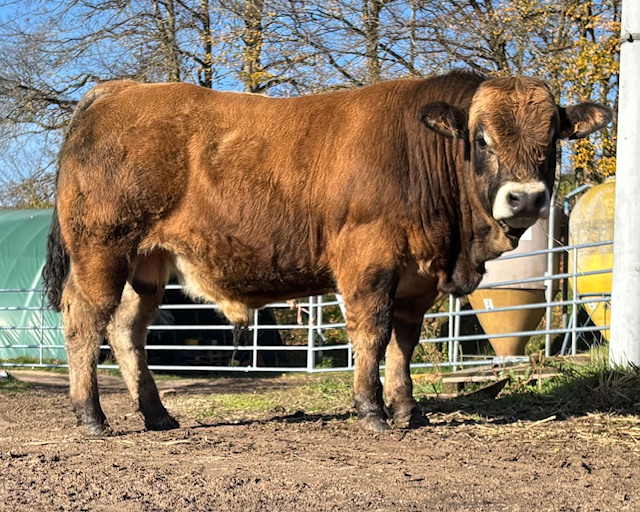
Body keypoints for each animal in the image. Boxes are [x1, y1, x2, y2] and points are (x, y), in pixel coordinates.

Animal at [42, 71, 612, 435]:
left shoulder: (417, 280)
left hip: (148, 264)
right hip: (101, 250)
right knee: (85, 321)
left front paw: (409, 410)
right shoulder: (368, 260)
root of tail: (121, 89)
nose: (527, 198)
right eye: (482, 138)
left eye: (553, 139)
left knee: (127, 329)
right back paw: (92, 417)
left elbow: (403, 342)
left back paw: (157, 415)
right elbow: (372, 333)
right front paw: (372, 411)